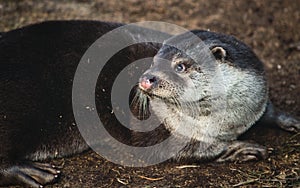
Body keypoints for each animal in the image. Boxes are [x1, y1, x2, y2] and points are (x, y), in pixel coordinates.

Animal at [0, 20, 298, 187]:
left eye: (180, 66)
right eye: (154, 60)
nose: (145, 79)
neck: (228, 121)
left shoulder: (255, 97)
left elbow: (267, 108)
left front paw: (289, 119)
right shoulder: (158, 134)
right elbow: (197, 151)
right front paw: (242, 148)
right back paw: (31, 172)